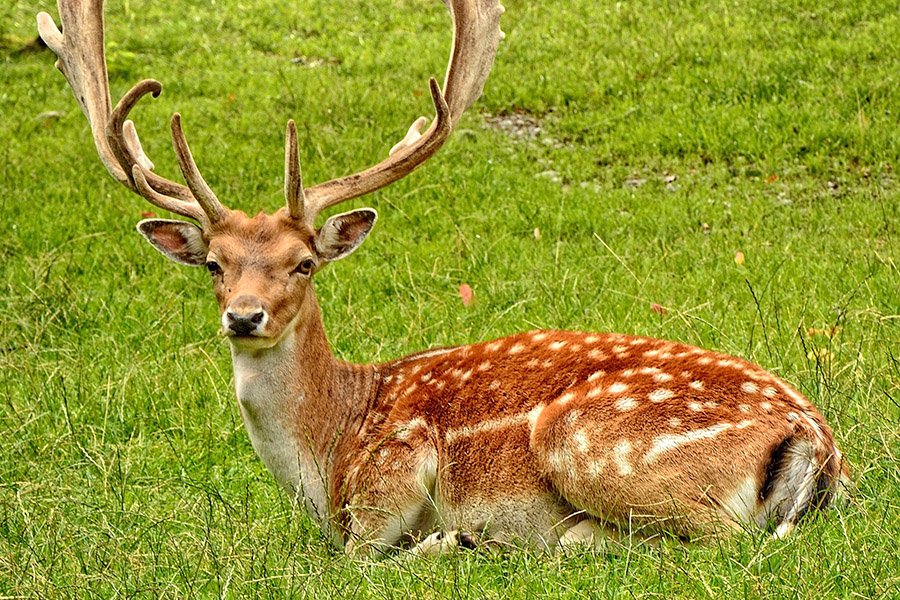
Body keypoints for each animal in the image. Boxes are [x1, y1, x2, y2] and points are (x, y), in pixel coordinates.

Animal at [38, 0, 848, 557]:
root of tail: (818, 442)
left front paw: (446, 539)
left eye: (304, 263)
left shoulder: (390, 477)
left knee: (717, 540)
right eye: (215, 263)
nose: (244, 316)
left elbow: (359, 559)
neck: (329, 450)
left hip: (590, 442)